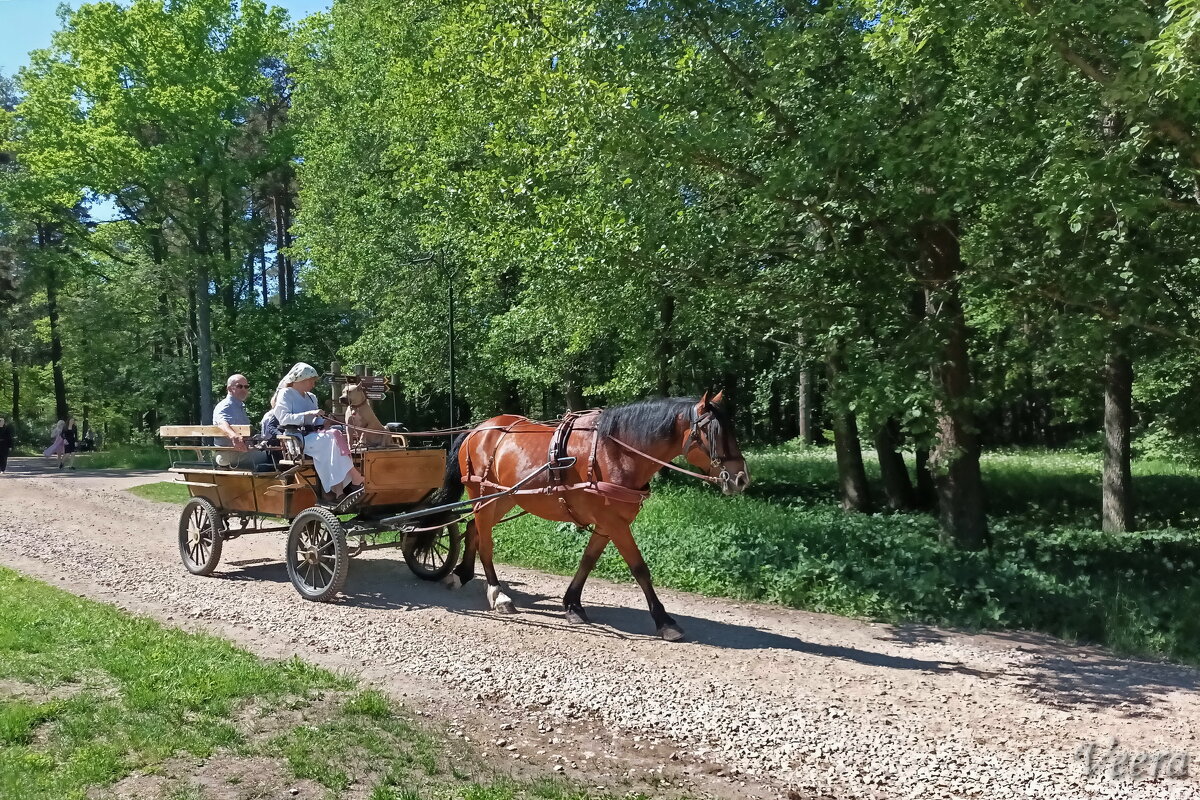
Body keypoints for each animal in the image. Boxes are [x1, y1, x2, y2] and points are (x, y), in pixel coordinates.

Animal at [412, 391, 748, 642]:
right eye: (715, 432)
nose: (741, 478)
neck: (617, 451)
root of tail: (477, 430)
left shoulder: (608, 523)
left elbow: (587, 561)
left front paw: (572, 604)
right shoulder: (615, 524)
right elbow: (640, 569)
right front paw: (664, 620)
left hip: (503, 497)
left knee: (472, 528)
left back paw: (462, 573)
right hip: (483, 493)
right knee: (485, 542)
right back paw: (498, 593)